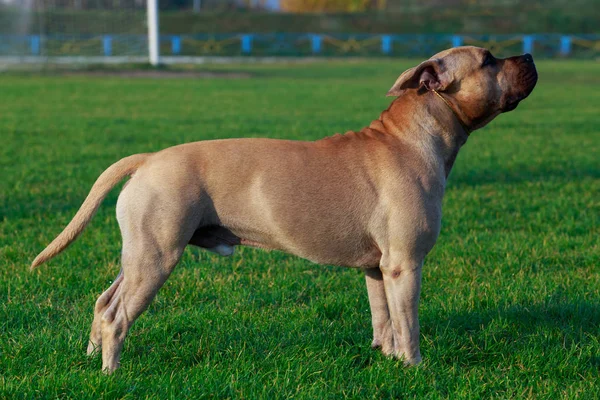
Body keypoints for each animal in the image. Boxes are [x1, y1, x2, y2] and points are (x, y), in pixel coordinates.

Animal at [31, 46, 540, 372]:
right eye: (489, 60)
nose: (531, 56)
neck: (413, 135)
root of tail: (149, 158)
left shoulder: (379, 270)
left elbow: (385, 321)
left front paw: (389, 360)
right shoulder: (406, 265)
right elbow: (409, 324)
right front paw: (416, 368)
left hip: (139, 254)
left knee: (104, 302)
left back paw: (91, 358)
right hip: (156, 259)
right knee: (117, 317)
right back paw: (112, 372)